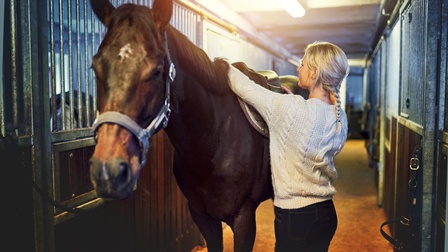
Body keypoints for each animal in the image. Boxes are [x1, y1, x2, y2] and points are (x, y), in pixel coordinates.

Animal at [88, 0, 272, 251]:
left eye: (157, 71)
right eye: (95, 67)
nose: (108, 171)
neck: (214, 141)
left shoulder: (244, 219)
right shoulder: (202, 217)